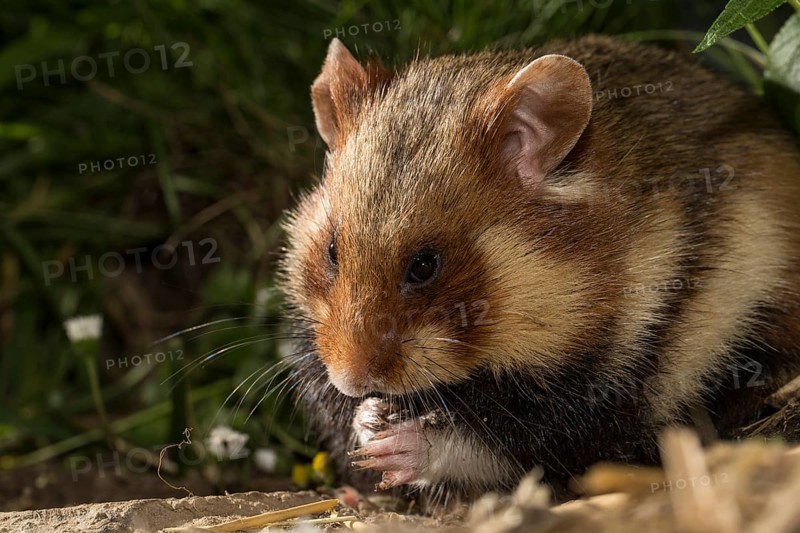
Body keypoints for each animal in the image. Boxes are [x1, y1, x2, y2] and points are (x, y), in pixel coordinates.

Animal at [279, 35, 800, 502]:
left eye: (425, 265)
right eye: (332, 250)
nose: (351, 381)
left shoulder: (607, 384)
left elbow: (508, 439)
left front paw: (394, 442)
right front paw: (366, 421)